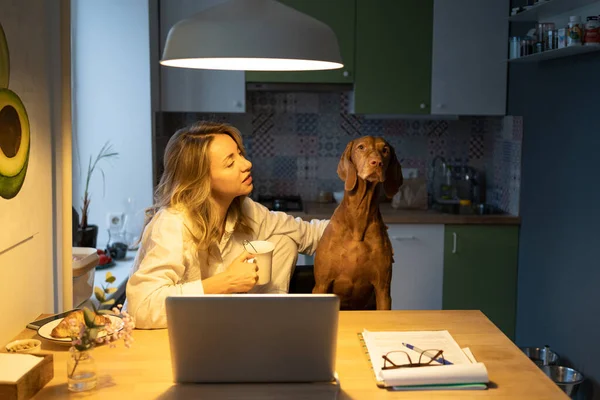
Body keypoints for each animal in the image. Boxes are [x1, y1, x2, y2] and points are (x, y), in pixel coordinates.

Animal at [314, 137, 404, 310]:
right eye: (361, 147)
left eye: (385, 150)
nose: (376, 162)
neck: (359, 217)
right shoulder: (321, 285)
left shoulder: (383, 290)